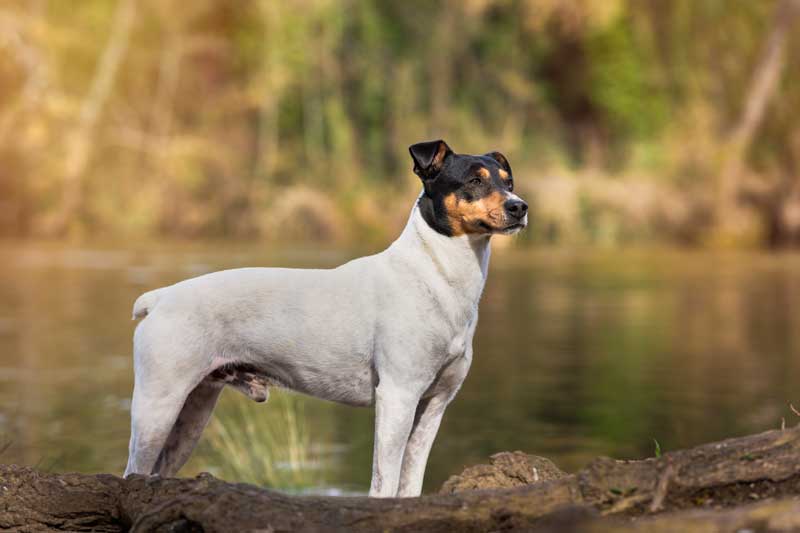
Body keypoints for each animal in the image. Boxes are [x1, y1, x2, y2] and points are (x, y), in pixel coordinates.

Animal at [123, 139, 524, 496]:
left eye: (508, 181)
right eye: (474, 181)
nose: (520, 207)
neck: (434, 275)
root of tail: (160, 298)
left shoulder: (434, 404)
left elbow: (409, 484)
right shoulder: (398, 395)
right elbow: (384, 483)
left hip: (192, 414)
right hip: (158, 406)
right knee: (132, 472)